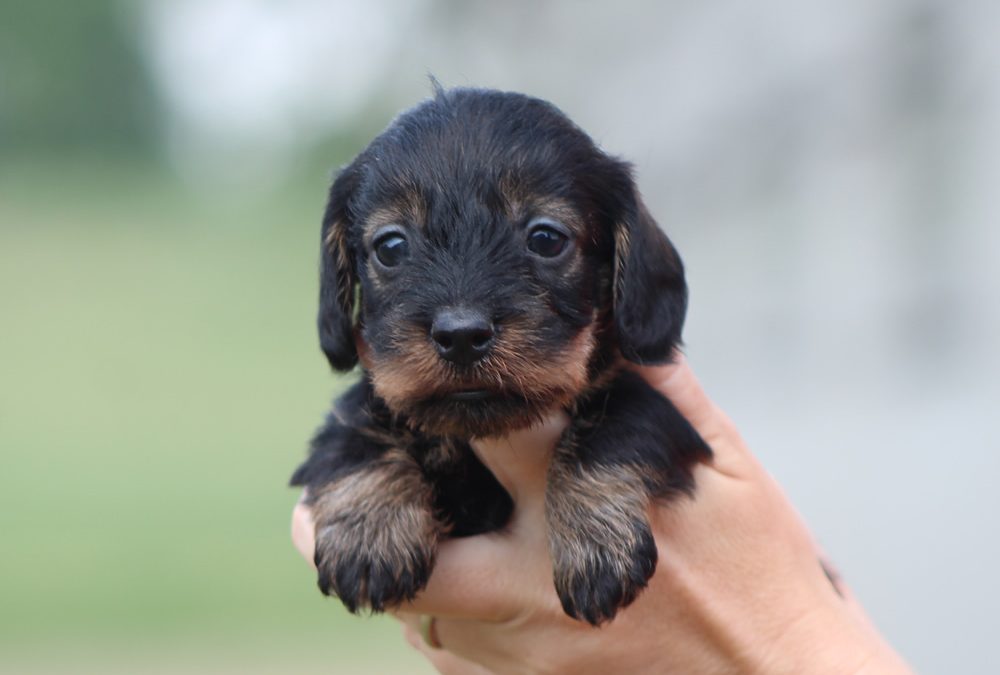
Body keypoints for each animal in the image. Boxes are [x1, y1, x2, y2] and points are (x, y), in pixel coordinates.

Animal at [292, 87, 712, 624]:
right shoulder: (362, 410)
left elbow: (618, 424)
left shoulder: (660, 408)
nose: (461, 335)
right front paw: (368, 534)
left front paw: (596, 544)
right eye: (390, 246)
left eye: (546, 238)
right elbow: (351, 437)